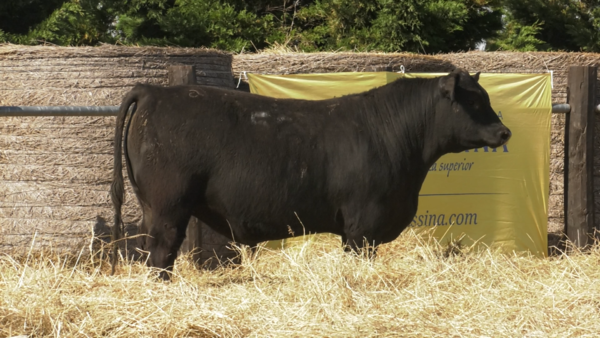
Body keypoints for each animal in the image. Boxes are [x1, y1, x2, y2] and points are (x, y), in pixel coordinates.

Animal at [109, 68, 510, 278]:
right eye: (473, 101)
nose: (504, 132)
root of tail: (154, 91)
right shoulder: (362, 225)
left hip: (156, 206)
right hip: (168, 206)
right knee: (162, 251)